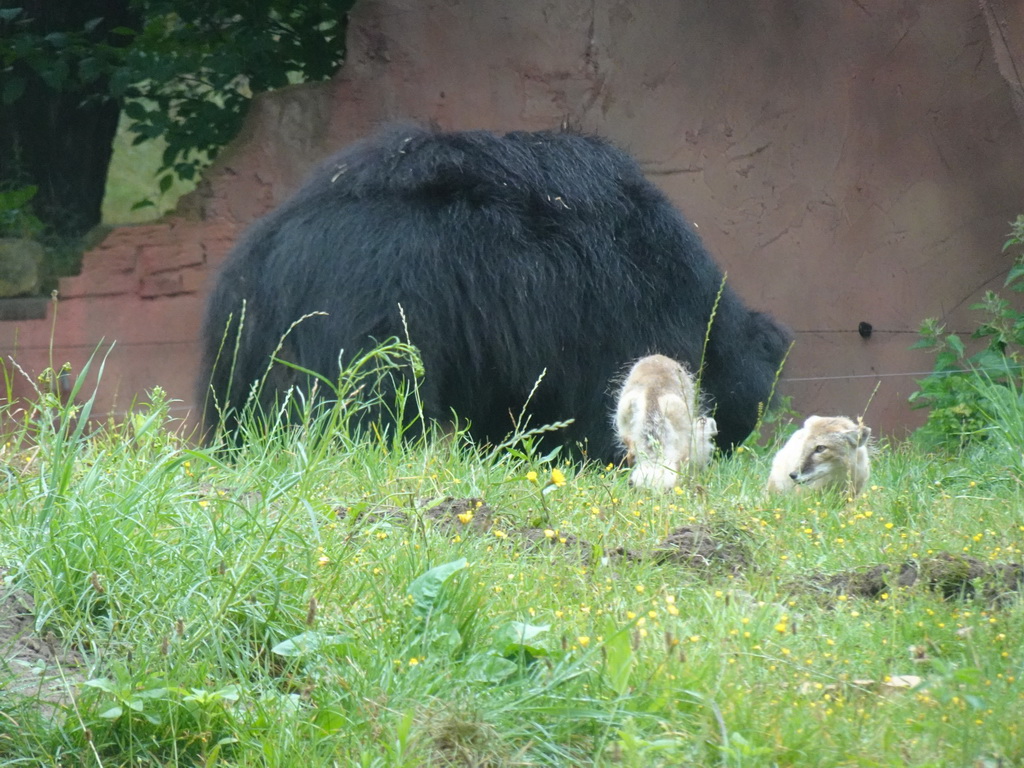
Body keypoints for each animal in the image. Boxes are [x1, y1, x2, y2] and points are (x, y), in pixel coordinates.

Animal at [199, 123, 790, 460]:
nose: (726, 450)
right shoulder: (614, 308)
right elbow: (593, 400)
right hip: (370, 308)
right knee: (372, 402)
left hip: (246, 341)